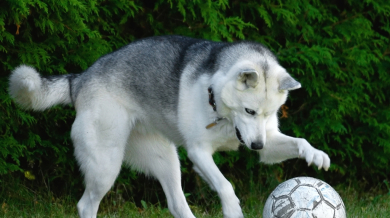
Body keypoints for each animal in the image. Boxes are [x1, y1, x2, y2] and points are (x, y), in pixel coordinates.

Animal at [9, 35, 330, 217]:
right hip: (106, 167)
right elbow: (226, 186)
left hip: (165, 161)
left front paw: (316, 155)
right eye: (249, 111)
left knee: (176, 204)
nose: (256, 145)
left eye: (270, 113)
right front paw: (232, 209)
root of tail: (80, 79)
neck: (221, 109)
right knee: (86, 205)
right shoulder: (199, 153)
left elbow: (299, 142)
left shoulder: (267, 141)